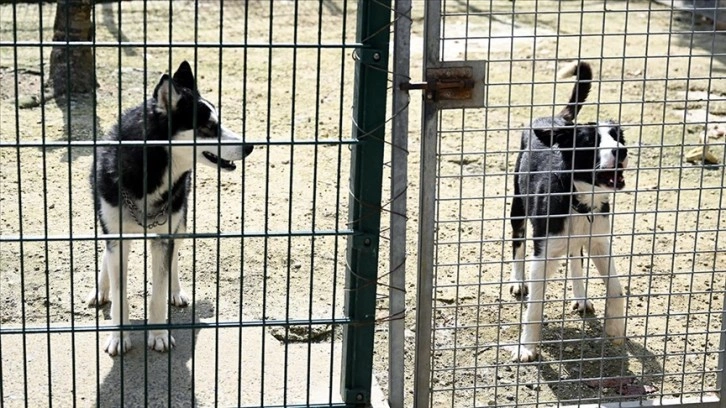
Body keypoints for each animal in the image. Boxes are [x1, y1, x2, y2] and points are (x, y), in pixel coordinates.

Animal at [88, 60, 255, 356]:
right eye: (209, 126)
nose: (250, 146)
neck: (150, 172)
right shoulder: (116, 234)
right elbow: (120, 293)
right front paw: (119, 336)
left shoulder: (164, 235)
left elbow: (157, 294)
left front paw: (158, 335)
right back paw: (101, 289)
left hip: (180, 220)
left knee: (174, 257)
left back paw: (175, 291)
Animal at [512, 59, 632, 360]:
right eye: (590, 142)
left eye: (617, 137)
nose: (622, 151)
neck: (579, 200)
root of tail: (554, 120)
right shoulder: (543, 254)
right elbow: (534, 306)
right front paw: (527, 347)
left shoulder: (600, 242)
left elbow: (616, 288)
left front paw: (615, 329)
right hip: (517, 206)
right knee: (517, 243)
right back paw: (517, 280)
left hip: (578, 239)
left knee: (576, 258)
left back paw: (581, 296)